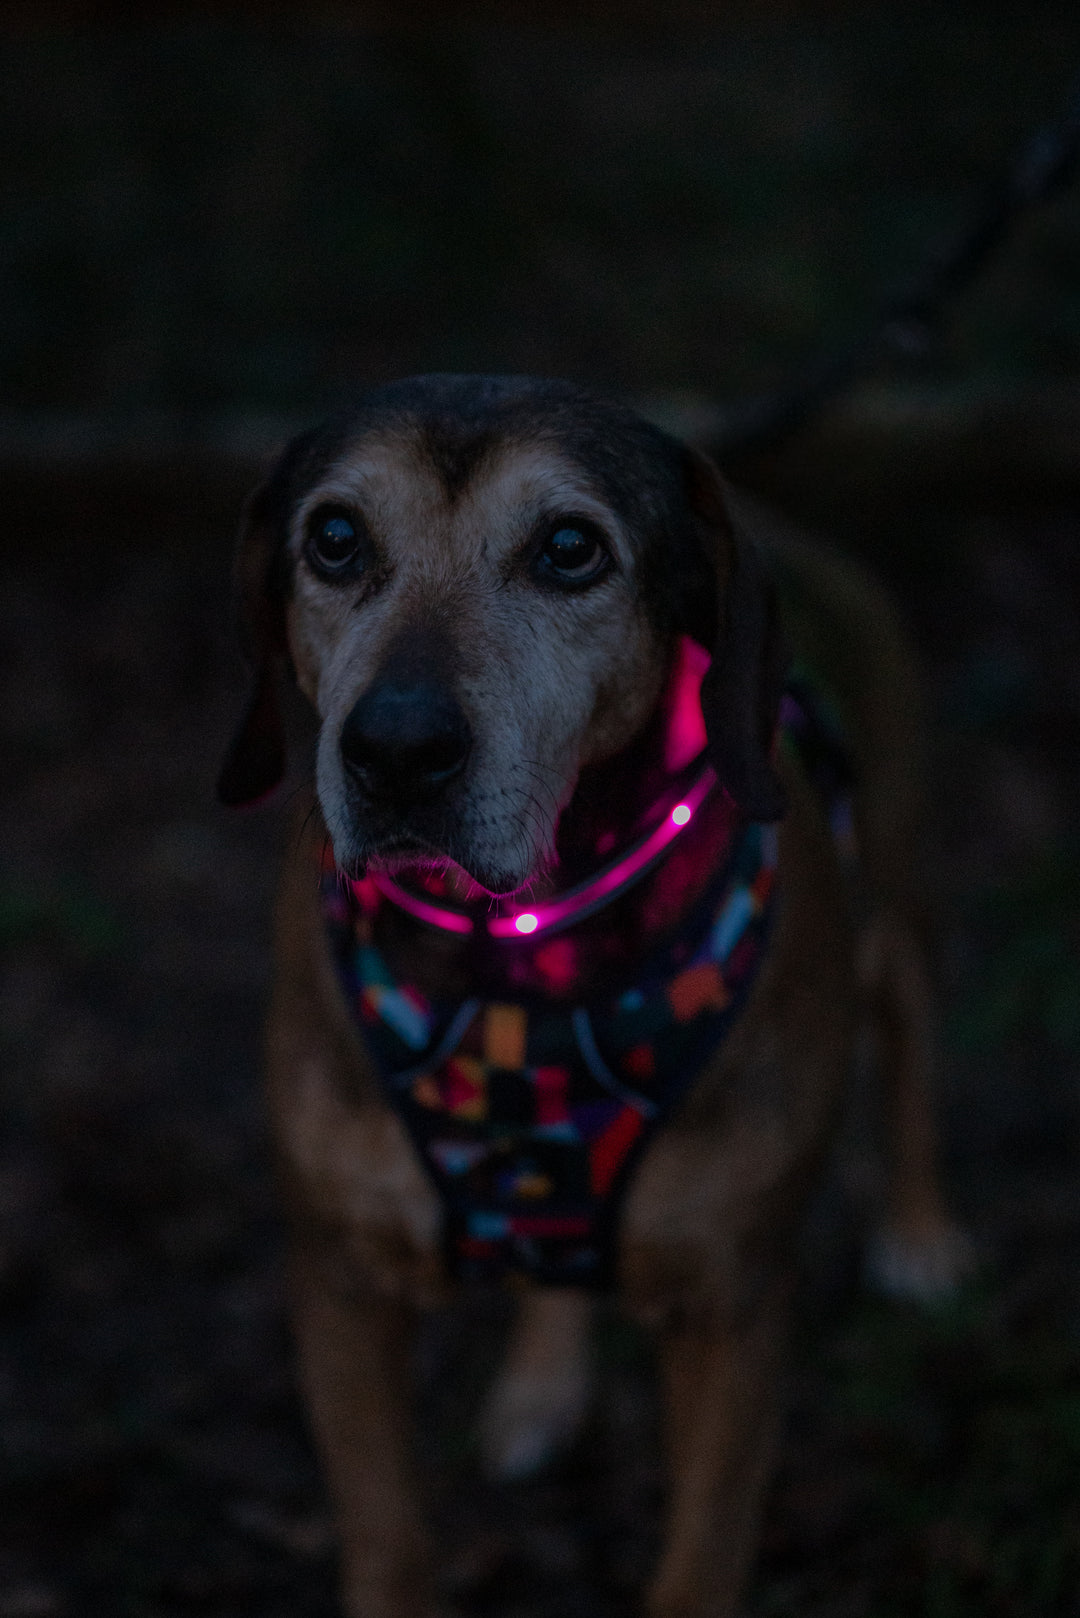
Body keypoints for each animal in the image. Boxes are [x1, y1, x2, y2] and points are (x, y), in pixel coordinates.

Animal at [215, 375, 965, 1618]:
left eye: (570, 549)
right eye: (335, 538)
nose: (397, 749)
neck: (514, 962)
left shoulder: (733, 1305)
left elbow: (701, 1558)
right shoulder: (341, 1283)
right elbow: (387, 1535)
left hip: (894, 890)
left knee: (909, 1029)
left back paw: (919, 1228)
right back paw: (542, 1387)